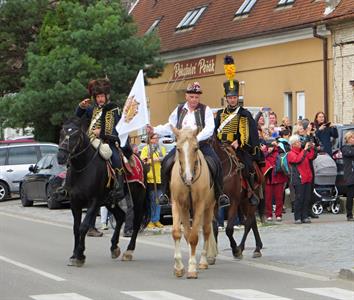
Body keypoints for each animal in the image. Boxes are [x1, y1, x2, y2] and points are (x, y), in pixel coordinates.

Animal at [57, 117, 148, 268]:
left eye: (76, 136)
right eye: (61, 134)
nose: (61, 157)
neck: (83, 168)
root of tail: (139, 159)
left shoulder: (93, 201)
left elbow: (83, 227)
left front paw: (80, 255)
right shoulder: (75, 202)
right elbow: (76, 228)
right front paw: (74, 254)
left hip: (138, 197)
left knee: (136, 221)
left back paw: (129, 251)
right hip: (109, 201)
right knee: (121, 216)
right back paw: (114, 247)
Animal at [169, 127, 217, 280]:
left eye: (196, 148)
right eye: (178, 149)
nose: (188, 177)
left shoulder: (200, 205)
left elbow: (195, 237)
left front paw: (191, 268)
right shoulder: (178, 204)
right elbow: (178, 233)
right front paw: (179, 267)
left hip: (209, 207)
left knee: (206, 231)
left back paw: (202, 261)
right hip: (187, 210)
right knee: (188, 234)